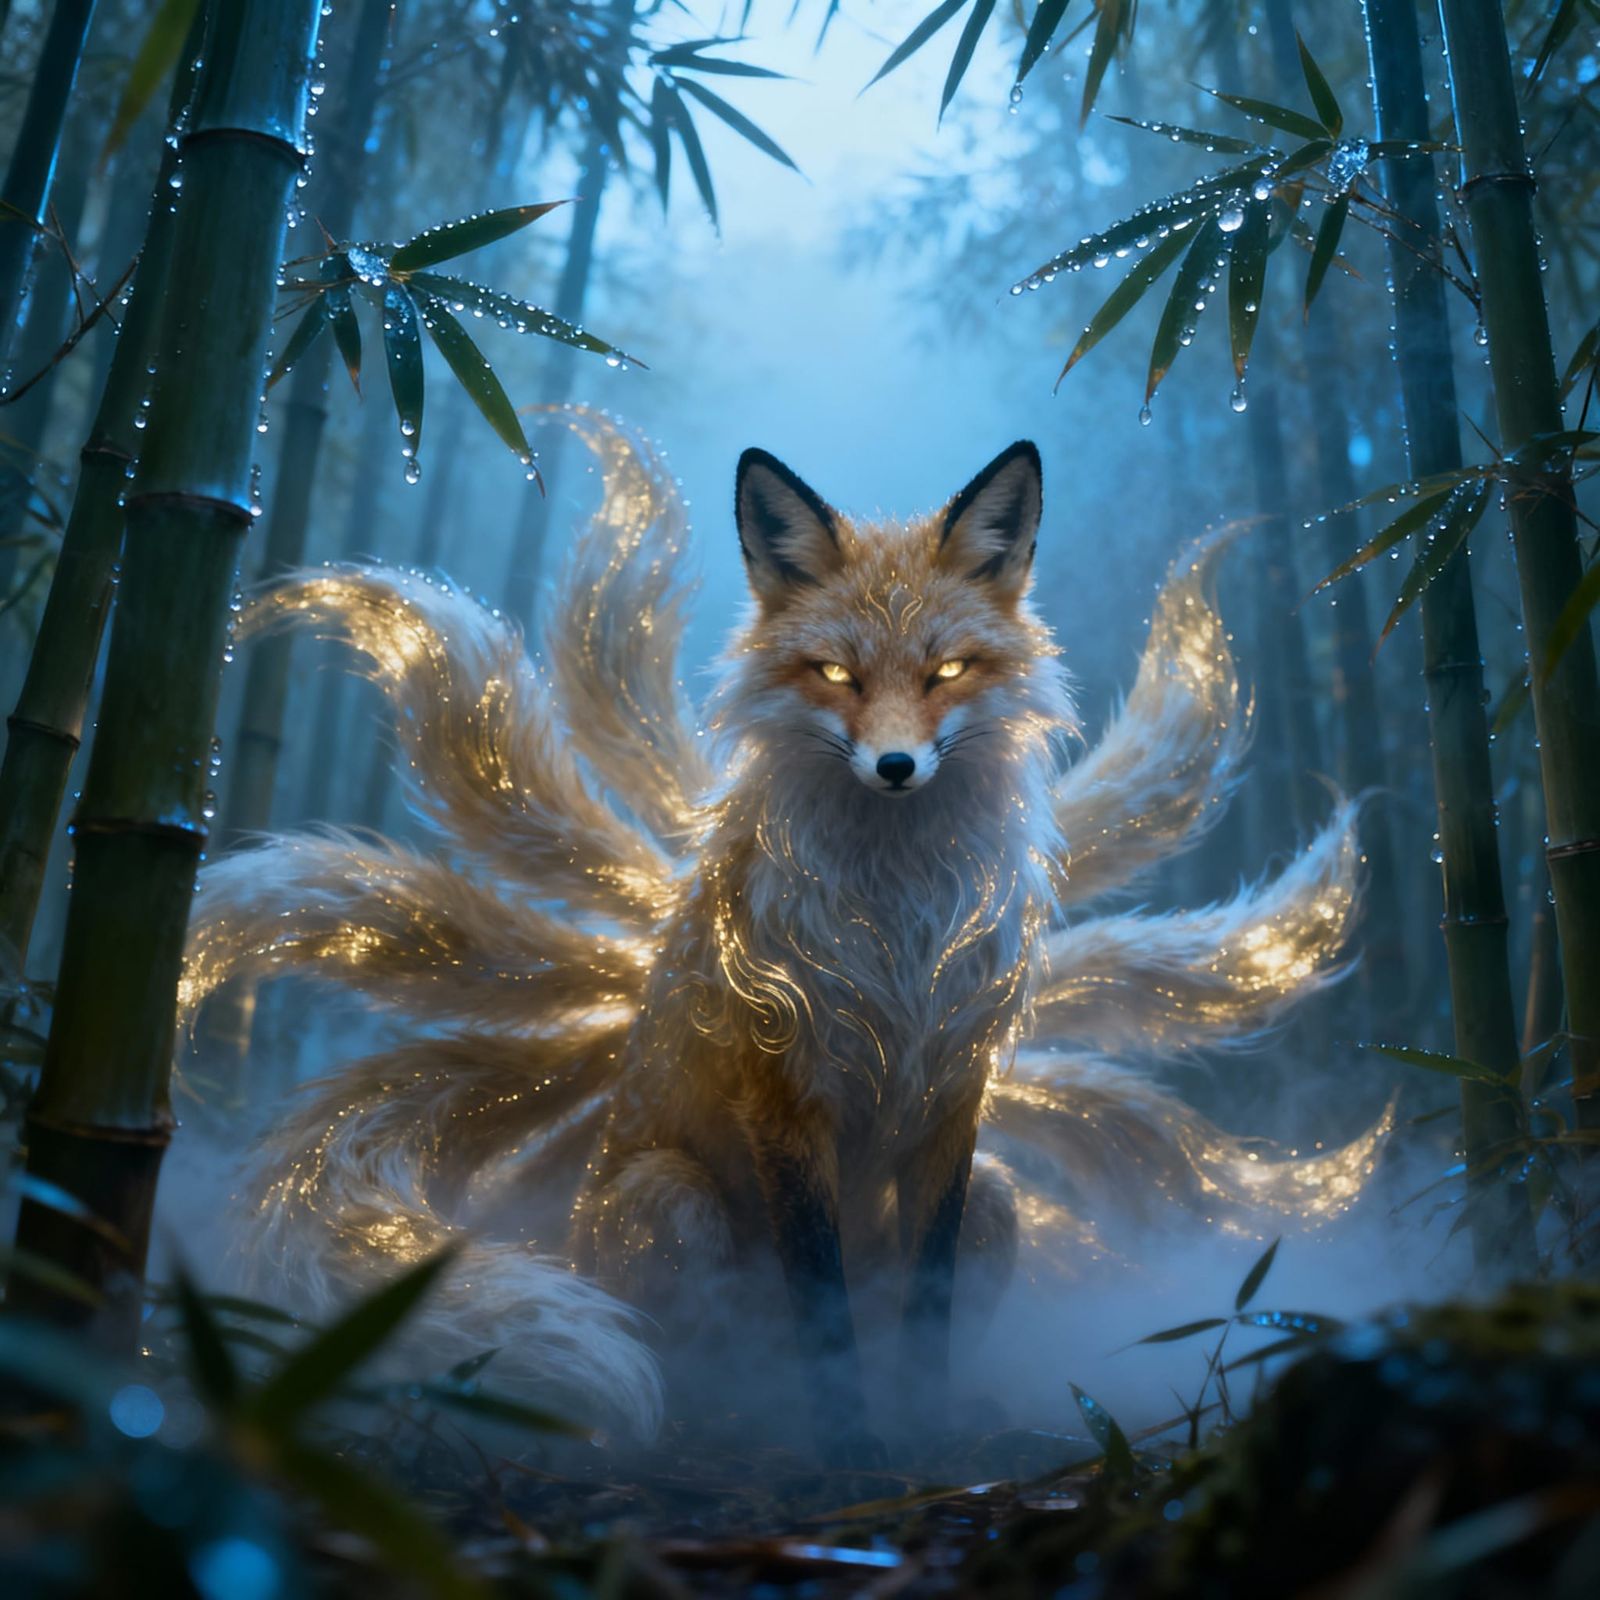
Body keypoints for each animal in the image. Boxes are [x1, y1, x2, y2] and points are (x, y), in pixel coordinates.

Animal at [180, 408, 1386, 1455]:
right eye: (836, 673)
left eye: (947, 671)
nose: (896, 765)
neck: (898, 925)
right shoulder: (787, 1091)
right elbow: (822, 1306)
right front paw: (848, 1443)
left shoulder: (957, 1095)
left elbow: (926, 1303)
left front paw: (923, 1426)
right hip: (671, 1202)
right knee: (697, 1351)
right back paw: (728, 1417)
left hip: (998, 1197)